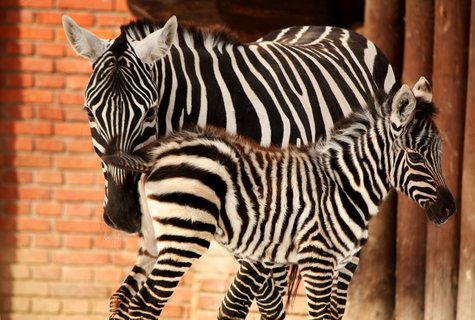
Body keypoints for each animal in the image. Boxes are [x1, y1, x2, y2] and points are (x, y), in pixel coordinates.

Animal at [64, 15, 398, 320]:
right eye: (89, 112)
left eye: (149, 112)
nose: (122, 214)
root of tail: (330, 27)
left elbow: (235, 305)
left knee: (335, 298)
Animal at [105, 78, 458, 320]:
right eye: (415, 156)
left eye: (440, 154)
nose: (450, 209)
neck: (346, 185)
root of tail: (156, 155)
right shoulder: (317, 259)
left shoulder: (343, 263)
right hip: (184, 237)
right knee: (147, 305)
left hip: (156, 240)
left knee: (125, 301)